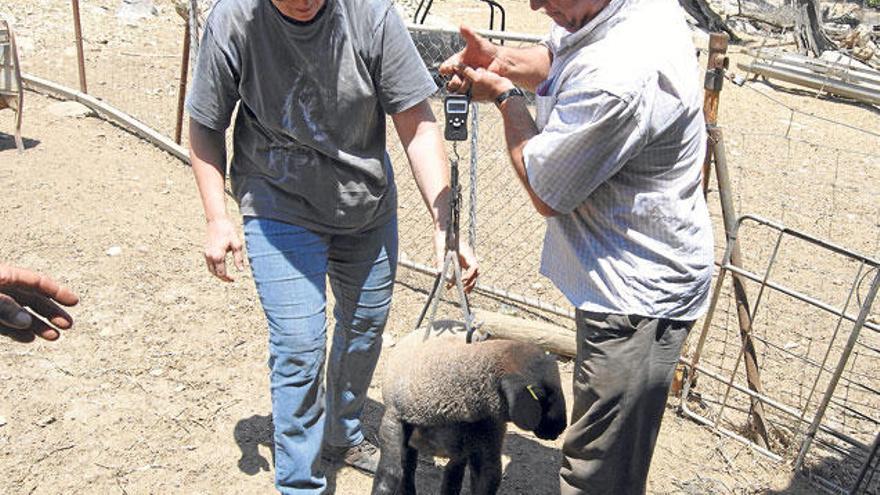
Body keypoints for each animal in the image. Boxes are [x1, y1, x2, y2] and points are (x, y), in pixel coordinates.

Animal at [370, 326, 564, 495]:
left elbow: (483, 481)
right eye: (541, 394)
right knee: (409, 466)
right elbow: (390, 473)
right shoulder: (392, 422)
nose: (560, 429)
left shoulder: (484, 447)